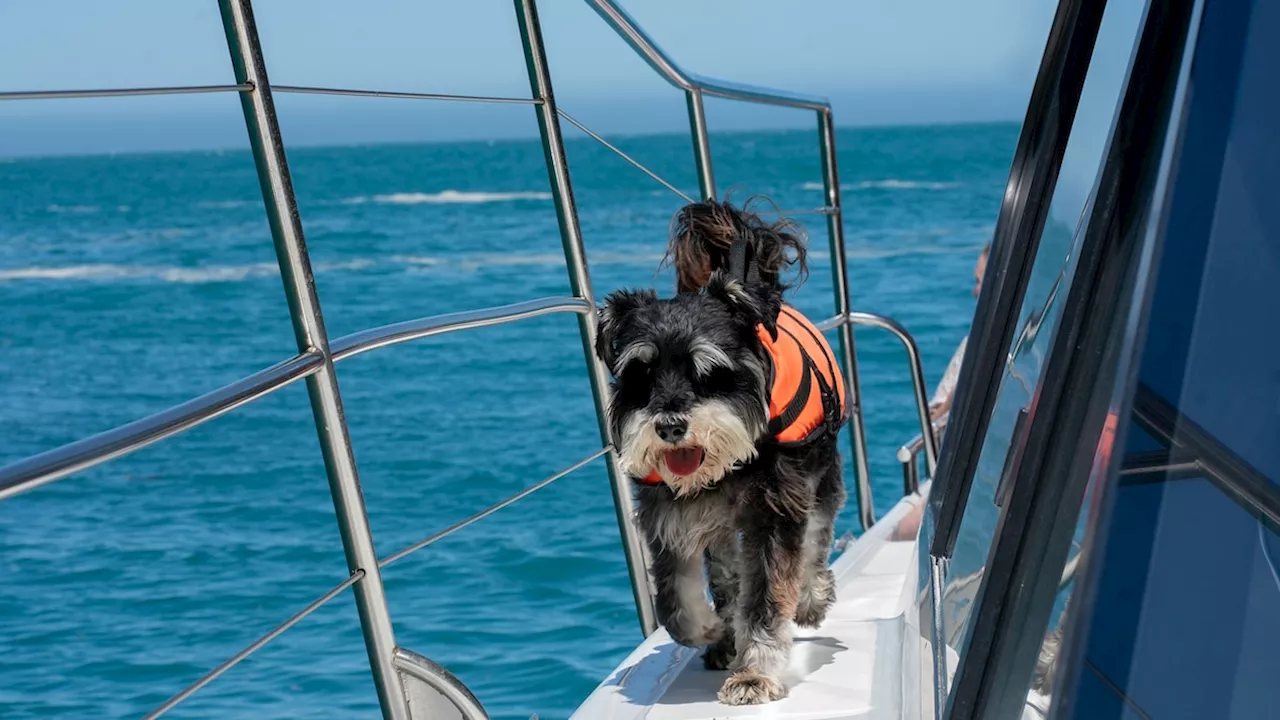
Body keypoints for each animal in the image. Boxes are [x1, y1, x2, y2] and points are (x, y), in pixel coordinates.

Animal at [596, 198, 849, 702]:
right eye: (640, 373)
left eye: (709, 370)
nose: (670, 427)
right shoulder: (668, 515)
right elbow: (676, 602)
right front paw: (712, 630)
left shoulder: (778, 511)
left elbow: (768, 597)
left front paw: (755, 673)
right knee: (729, 573)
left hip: (821, 476)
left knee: (815, 539)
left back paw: (810, 599)